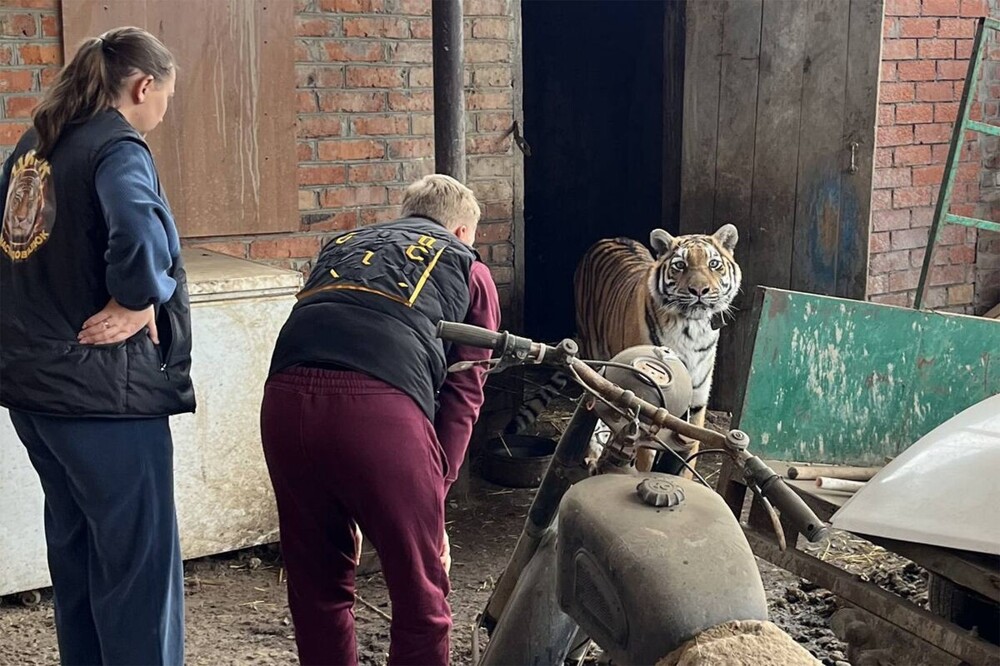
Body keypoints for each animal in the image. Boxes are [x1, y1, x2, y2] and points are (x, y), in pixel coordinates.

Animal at [504, 226, 740, 474]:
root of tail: (612, 237)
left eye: (713, 264)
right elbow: (644, 457)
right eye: (680, 265)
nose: (699, 290)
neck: (692, 330)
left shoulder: (696, 404)